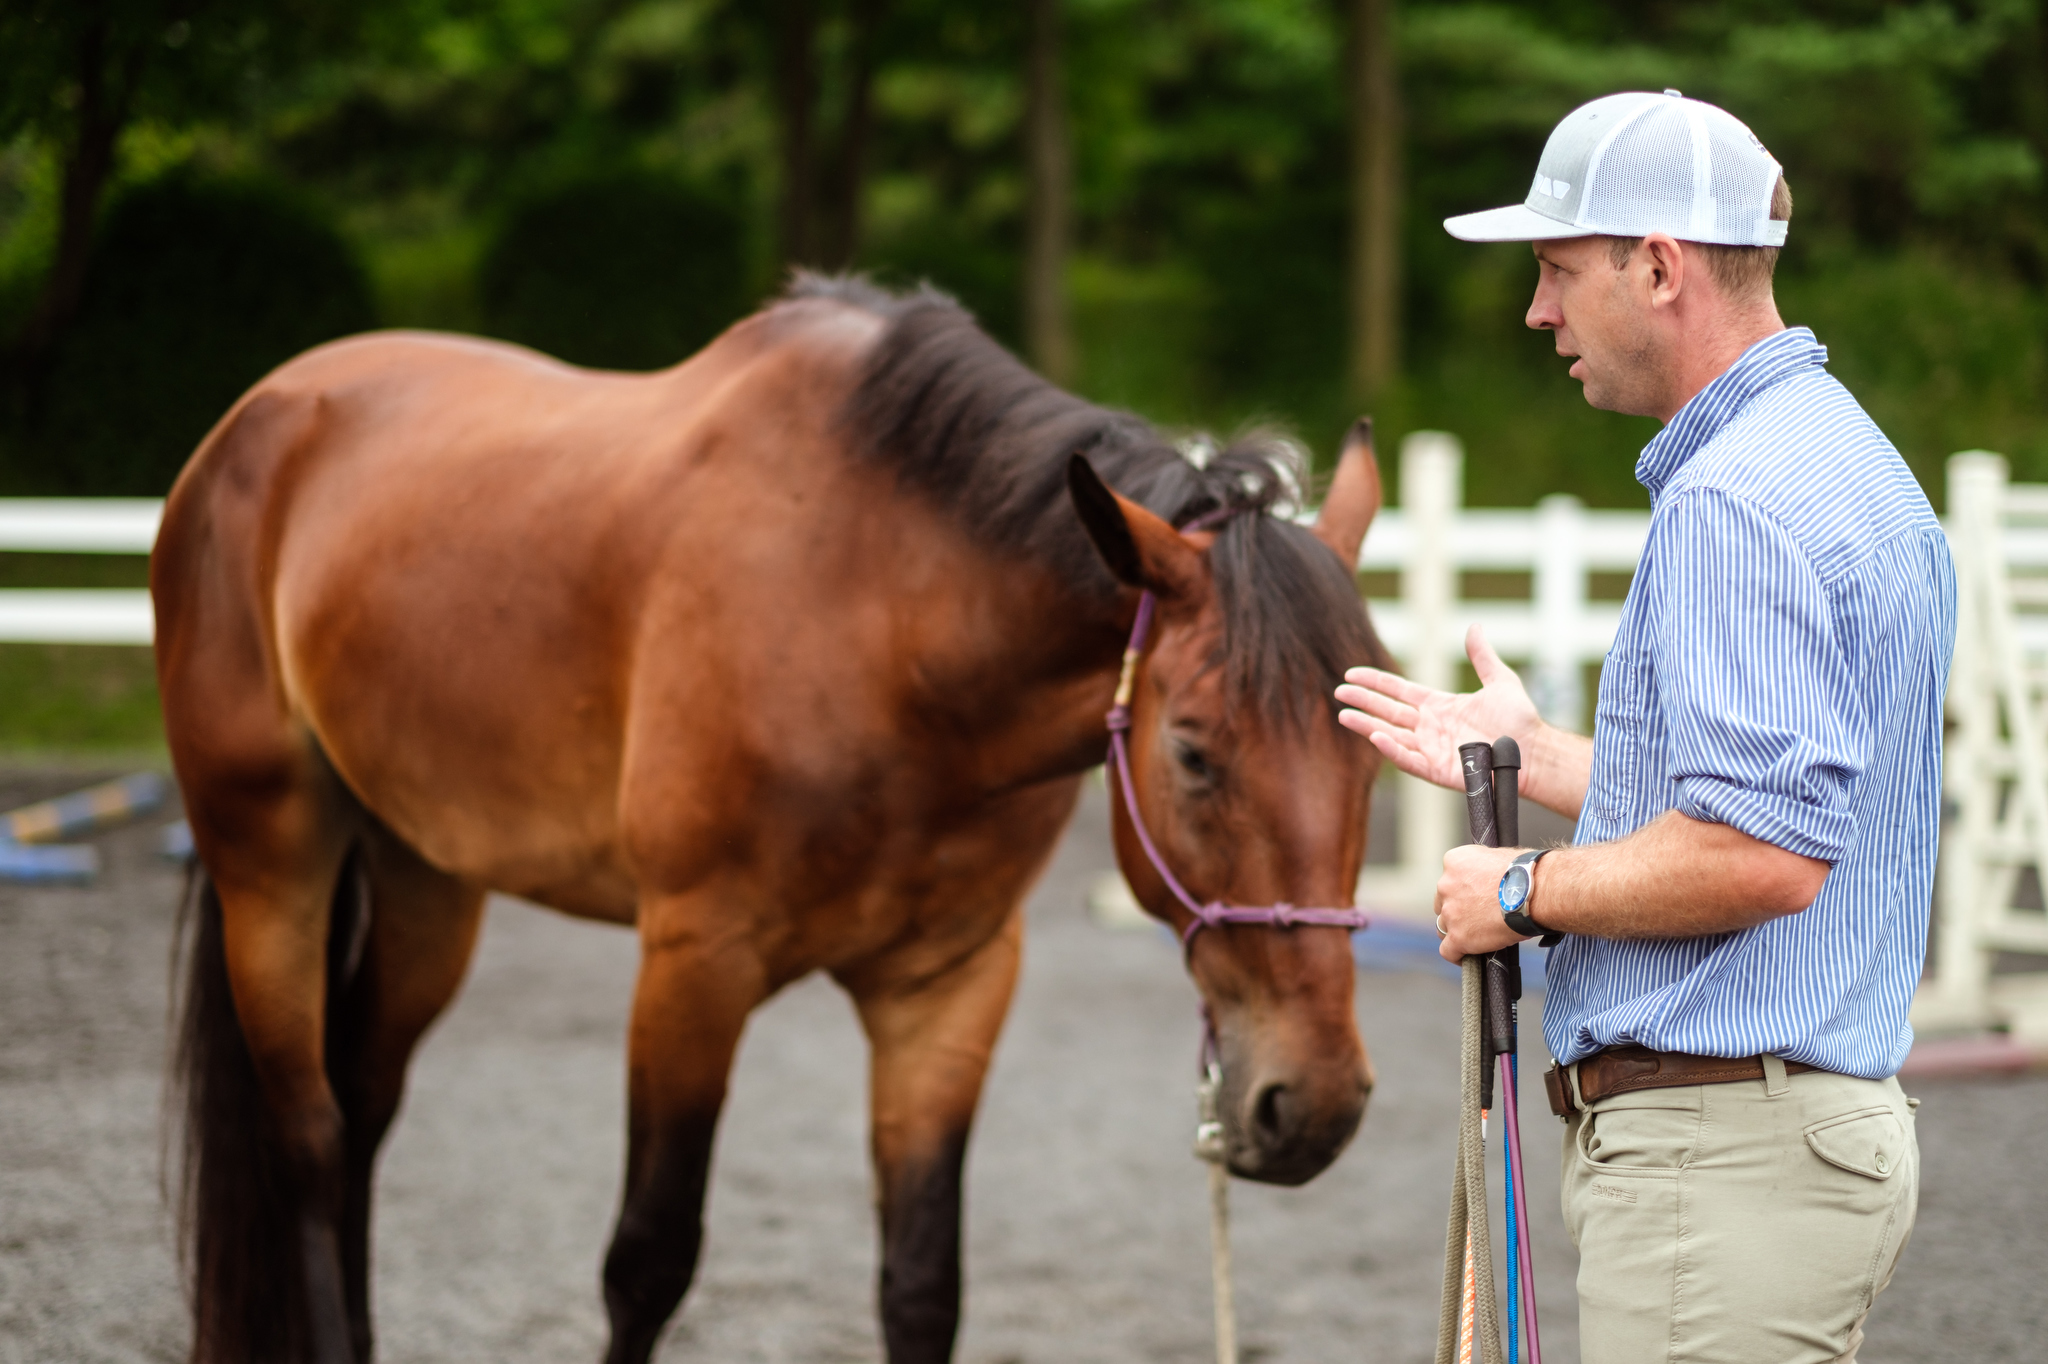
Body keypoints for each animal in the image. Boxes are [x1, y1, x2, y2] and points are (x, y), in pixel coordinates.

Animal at [155, 275, 1392, 1364]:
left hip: (425, 876)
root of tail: (256, 417)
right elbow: (647, 1260)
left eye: (1374, 753)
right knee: (310, 1137)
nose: (1313, 1105)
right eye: (1191, 750)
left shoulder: (947, 985)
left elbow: (920, 1281)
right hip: (271, 858)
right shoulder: (693, 964)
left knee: (363, 1108)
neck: (884, 621)